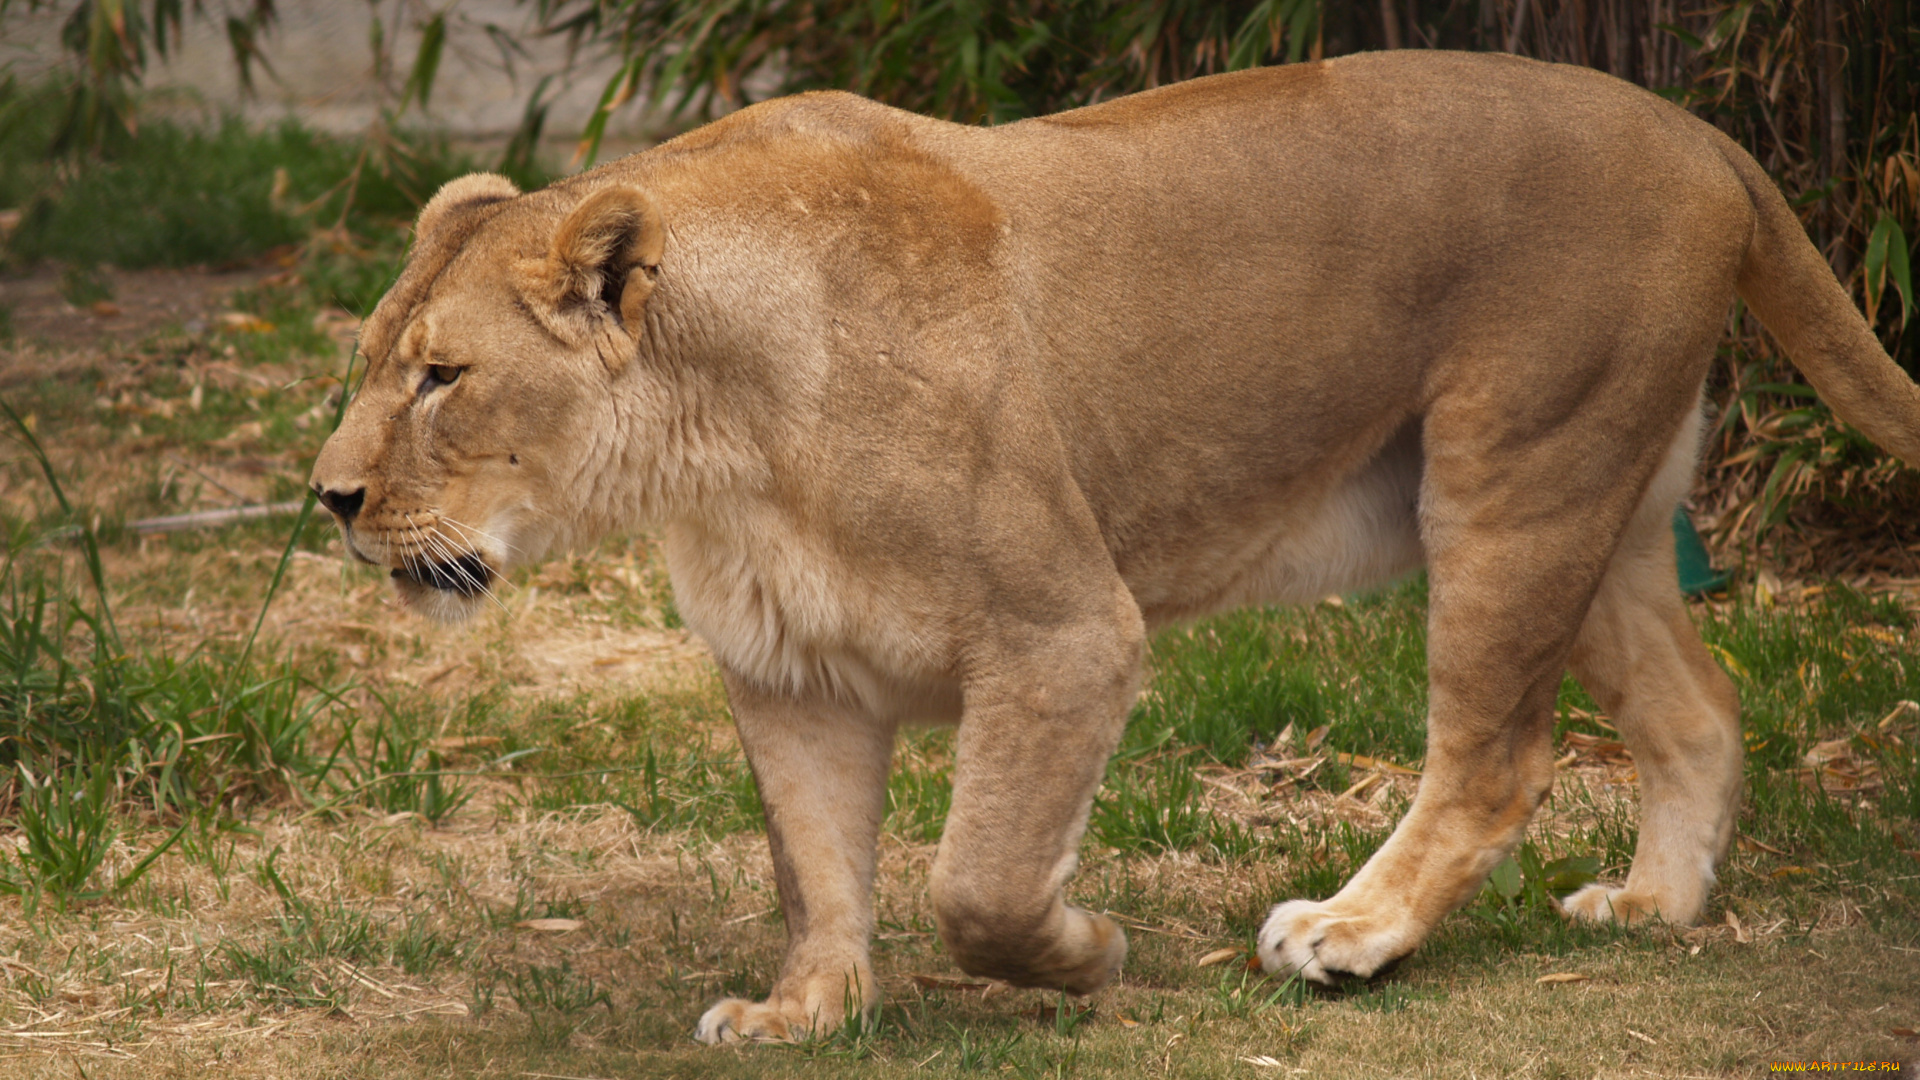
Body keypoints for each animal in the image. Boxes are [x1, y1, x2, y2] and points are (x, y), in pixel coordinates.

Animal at [311, 46, 1920, 1037]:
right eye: (375, 361)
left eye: (442, 377)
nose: (328, 501)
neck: (713, 450)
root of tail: (1704, 132)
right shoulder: (792, 672)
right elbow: (820, 871)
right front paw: (807, 1012)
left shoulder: (1062, 631)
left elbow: (981, 877)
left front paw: (1085, 958)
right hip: (1601, 507)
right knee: (1701, 708)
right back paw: (1652, 906)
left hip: (1511, 481)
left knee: (1496, 758)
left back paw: (1352, 932)